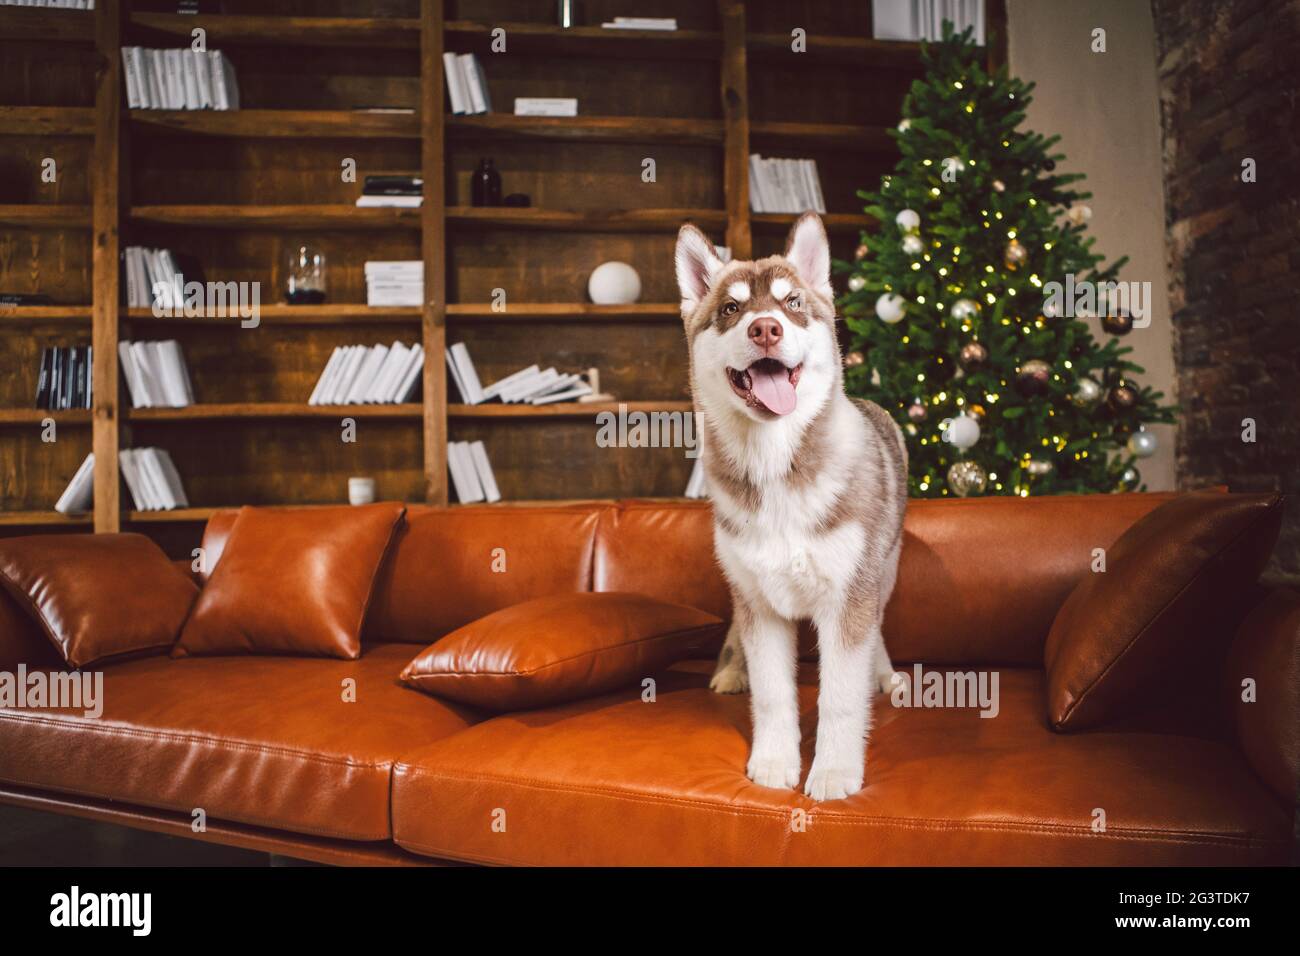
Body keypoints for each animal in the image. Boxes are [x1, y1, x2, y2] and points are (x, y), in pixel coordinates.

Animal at [681, 214, 904, 801]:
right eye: (730, 309)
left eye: (793, 303)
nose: (765, 329)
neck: (776, 464)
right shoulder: (760, 604)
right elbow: (773, 694)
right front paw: (775, 761)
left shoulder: (850, 598)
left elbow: (841, 697)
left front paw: (833, 772)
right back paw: (732, 670)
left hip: (884, 573)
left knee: (877, 627)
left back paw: (883, 672)